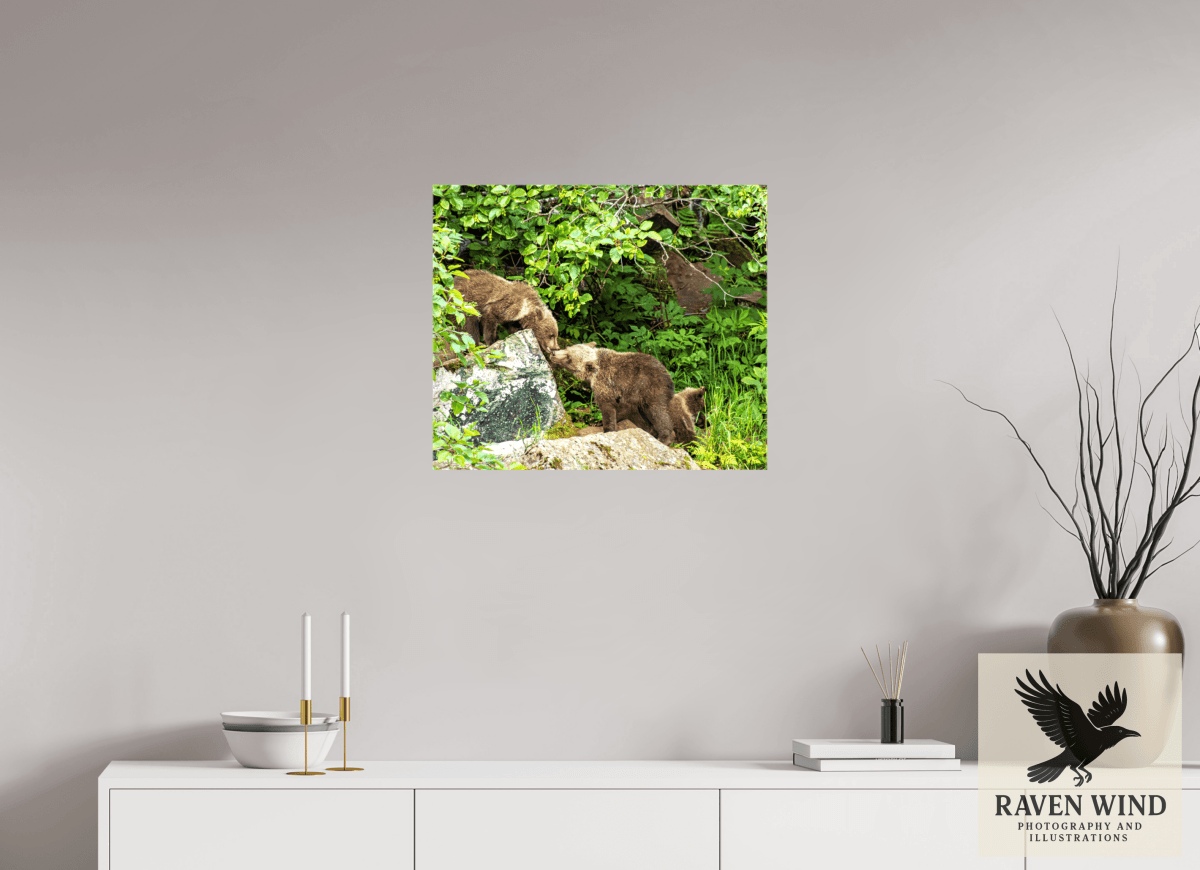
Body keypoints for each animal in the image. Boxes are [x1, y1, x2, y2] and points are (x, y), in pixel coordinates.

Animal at [547, 342, 676, 445]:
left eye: (568, 358)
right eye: (567, 348)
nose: (553, 353)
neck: (592, 375)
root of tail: (668, 376)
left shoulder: (606, 385)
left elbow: (608, 409)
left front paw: (607, 429)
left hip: (650, 389)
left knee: (659, 413)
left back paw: (664, 437)